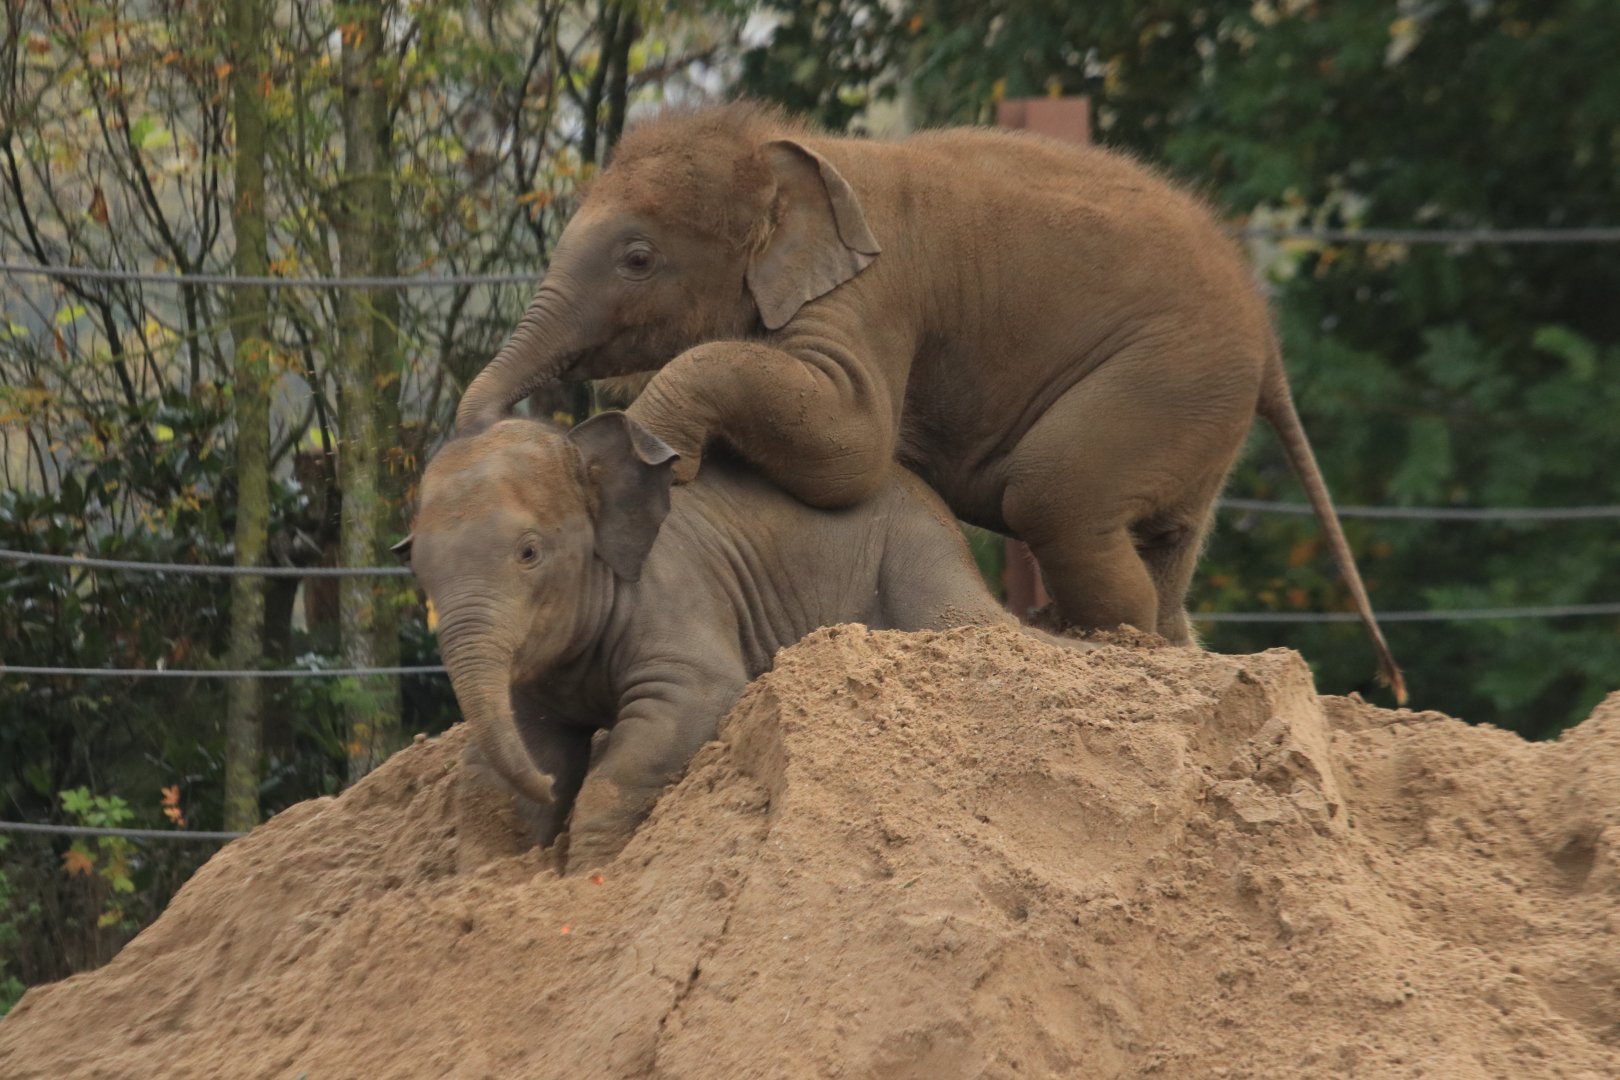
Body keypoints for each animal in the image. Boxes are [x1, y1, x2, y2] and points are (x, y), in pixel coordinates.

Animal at [397, 410, 1094, 872]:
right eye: (417, 569)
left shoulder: (677, 592)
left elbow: (689, 704)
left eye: (529, 552)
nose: (547, 791)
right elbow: (529, 746)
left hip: (920, 560)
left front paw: (588, 870)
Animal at [455, 102, 1406, 703]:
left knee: (1055, 494)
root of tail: (1266, 328)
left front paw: (661, 459)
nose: (476, 430)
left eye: (638, 259)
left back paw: (1102, 642)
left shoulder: (875, 292)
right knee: (1162, 534)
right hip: (1199, 404)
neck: (785, 148)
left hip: (1170, 370)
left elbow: (853, 443)